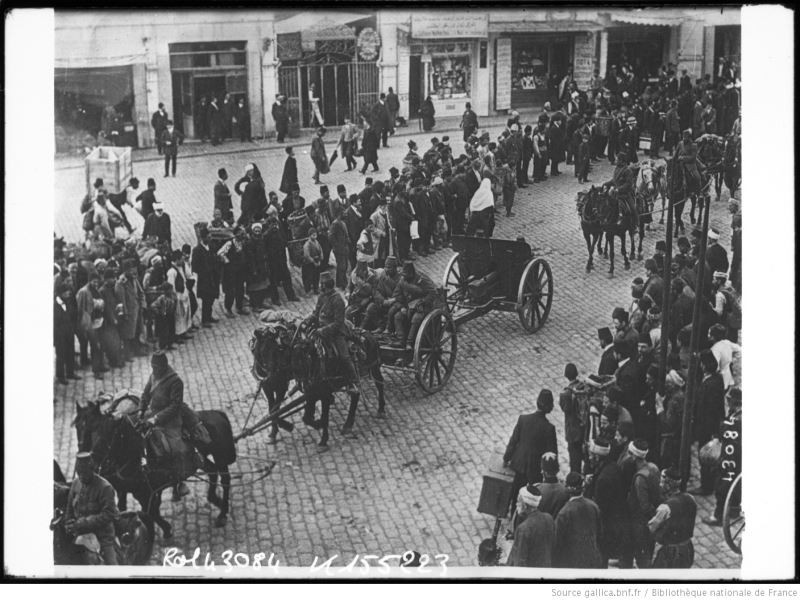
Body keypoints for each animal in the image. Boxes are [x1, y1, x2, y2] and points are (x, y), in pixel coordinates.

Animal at [74, 394, 238, 540]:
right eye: (77, 427)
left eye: (104, 431)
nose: (90, 460)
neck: (137, 453)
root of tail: (217, 414)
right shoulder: (131, 489)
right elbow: (130, 508)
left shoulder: (145, 491)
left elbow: (150, 512)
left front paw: (166, 529)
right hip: (201, 459)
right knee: (213, 472)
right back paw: (214, 499)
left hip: (220, 458)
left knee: (225, 480)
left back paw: (222, 513)